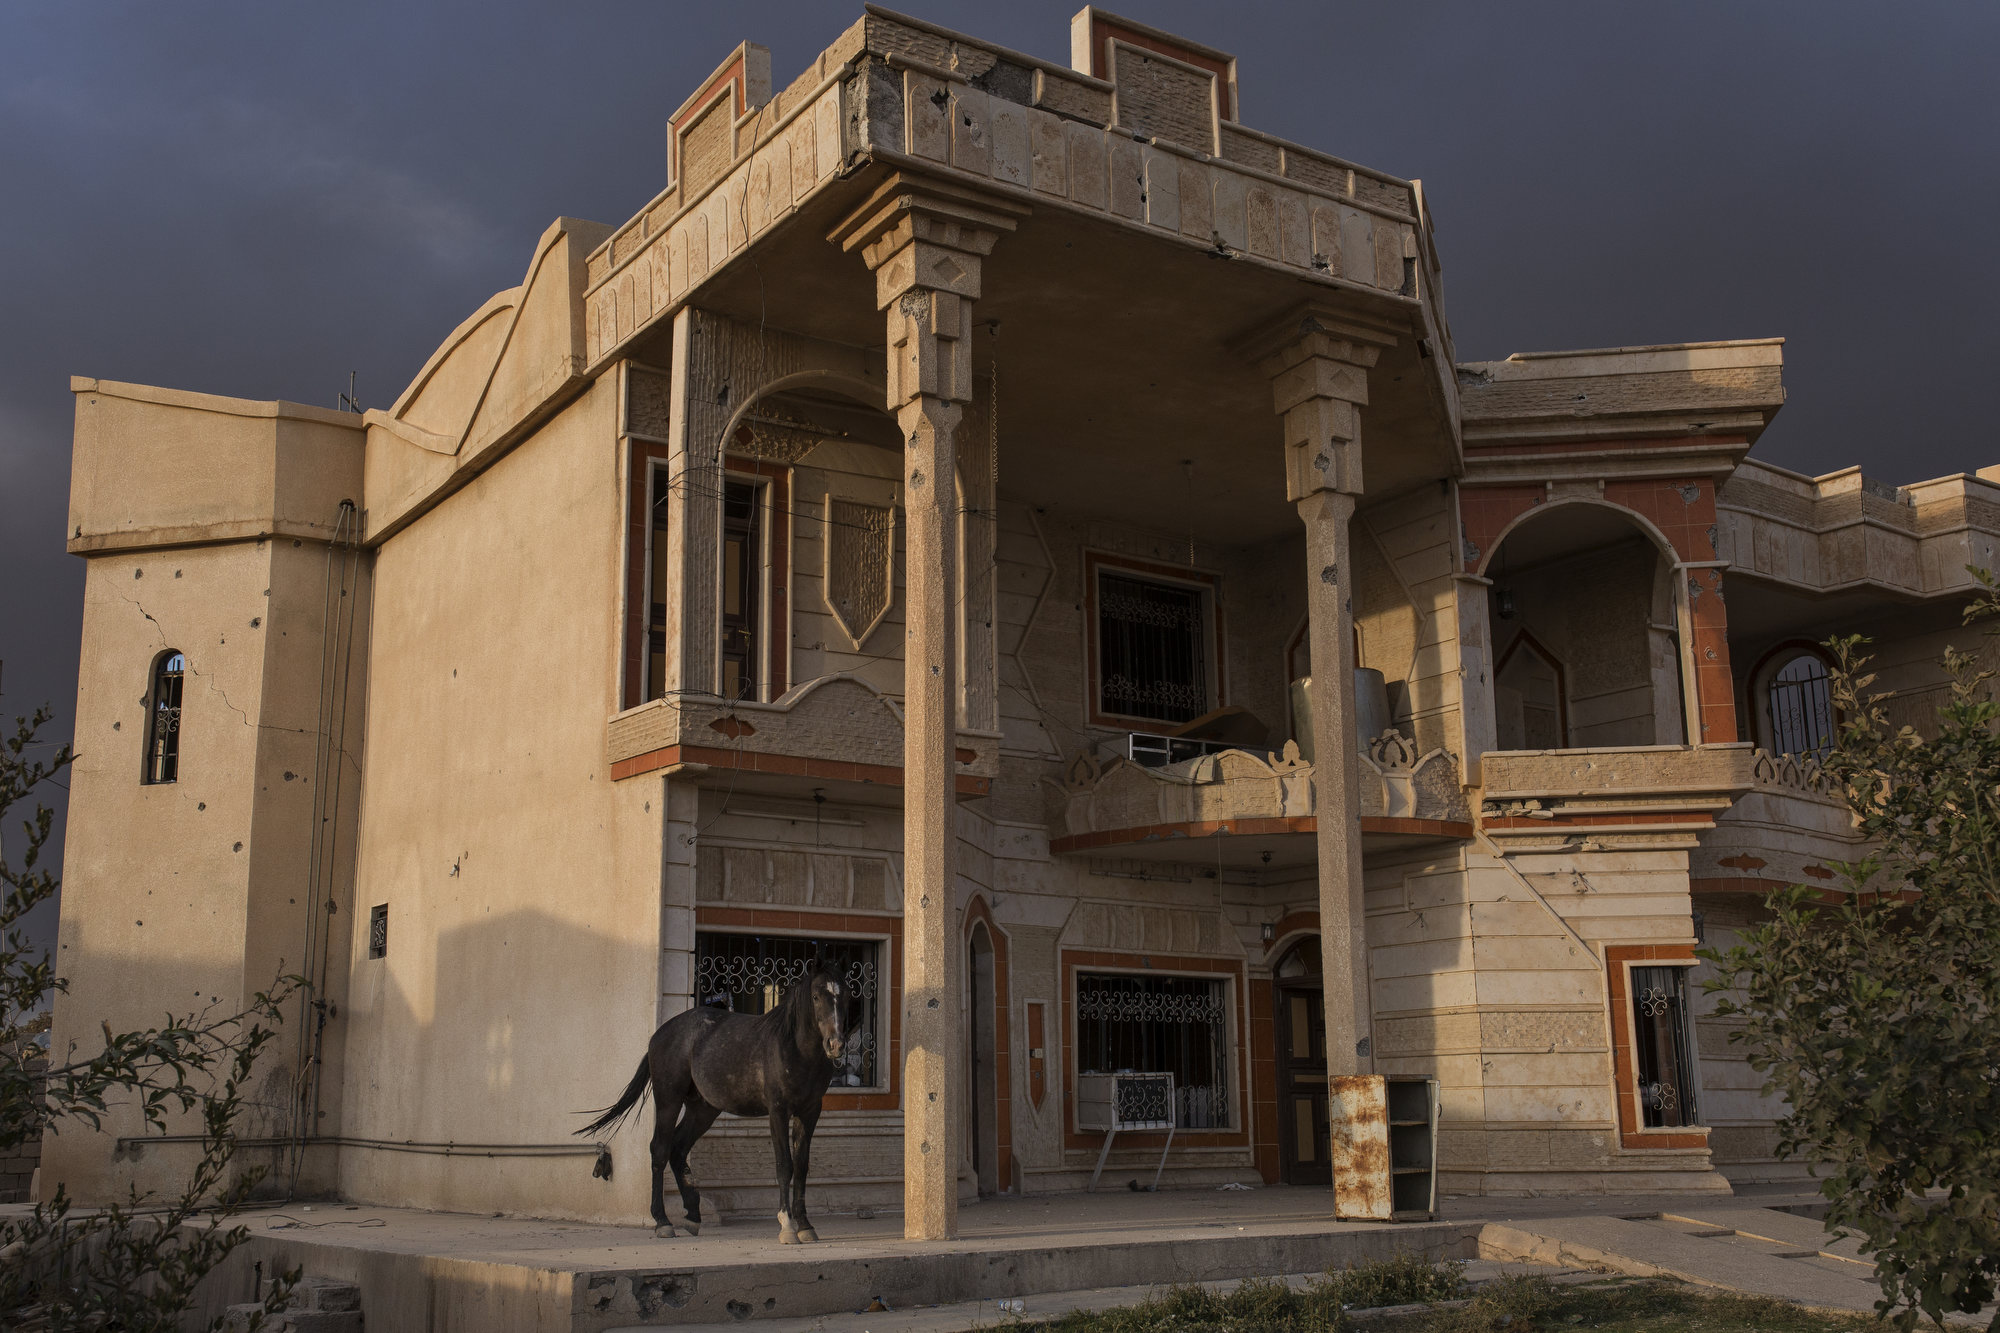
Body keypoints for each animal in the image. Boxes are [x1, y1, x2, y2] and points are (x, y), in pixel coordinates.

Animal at [584, 964, 856, 1232]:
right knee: (660, 1149)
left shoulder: (810, 1111)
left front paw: (805, 1225)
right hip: (668, 1099)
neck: (796, 1050)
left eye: (845, 995)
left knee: (679, 1147)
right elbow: (784, 1165)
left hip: (703, 1109)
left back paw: (693, 1214)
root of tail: (658, 1035)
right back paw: (662, 1220)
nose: (836, 1044)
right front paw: (787, 1224)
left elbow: (801, 1166)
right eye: (816, 996)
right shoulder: (778, 1110)